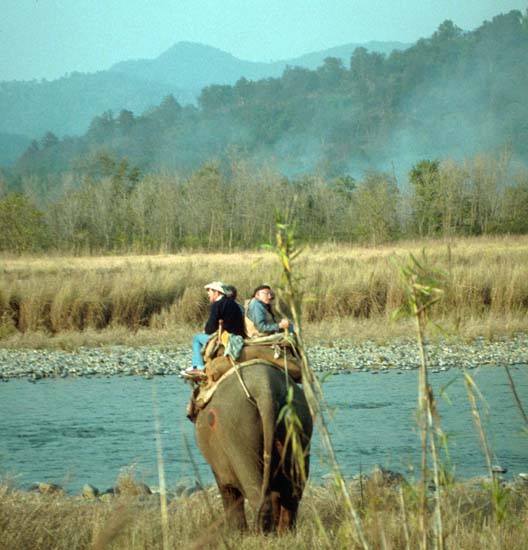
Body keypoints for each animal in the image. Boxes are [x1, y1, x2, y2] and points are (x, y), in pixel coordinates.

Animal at [193, 362, 310, 536]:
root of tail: (265, 388)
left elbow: (228, 491)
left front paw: (236, 535)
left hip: (238, 436)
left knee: (256, 492)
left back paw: (261, 535)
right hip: (298, 424)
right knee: (293, 491)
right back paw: (285, 534)